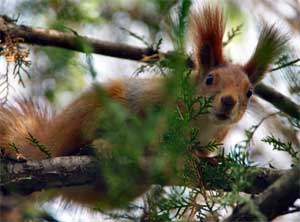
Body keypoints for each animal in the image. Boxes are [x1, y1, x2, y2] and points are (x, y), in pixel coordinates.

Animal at [0, 4, 286, 208]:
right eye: (210, 79)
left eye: (249, 92)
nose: (228, 101)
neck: (204, 122)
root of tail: (51, 139)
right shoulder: (160, 108)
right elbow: (157, 138)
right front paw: (181, 156)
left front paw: (210, 160)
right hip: (96, 110)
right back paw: (102, 147)